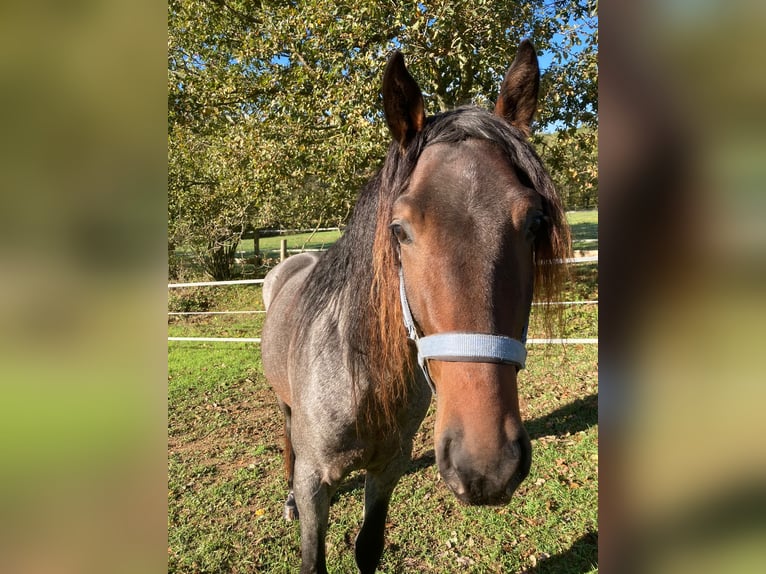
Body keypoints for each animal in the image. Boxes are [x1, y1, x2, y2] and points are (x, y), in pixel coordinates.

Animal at [262, 41, 568, 574]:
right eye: (399, 228)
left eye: (535, 221)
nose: (486, 466)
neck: (362, 381)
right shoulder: (316, 480)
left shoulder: (387, 470)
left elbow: (368, 548)